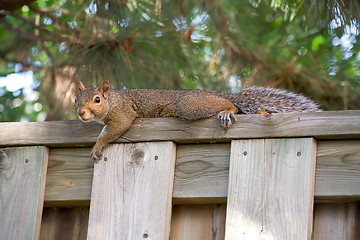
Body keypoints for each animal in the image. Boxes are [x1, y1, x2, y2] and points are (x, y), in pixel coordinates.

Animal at [75, 80, 320, 161]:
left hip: (190, 105)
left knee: (230, 105)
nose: (80, 113)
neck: (114, 100)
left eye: (97, 99)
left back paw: (227, 110)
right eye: (76, 99)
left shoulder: (123, 115)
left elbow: (114, 129)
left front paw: (97, 145)